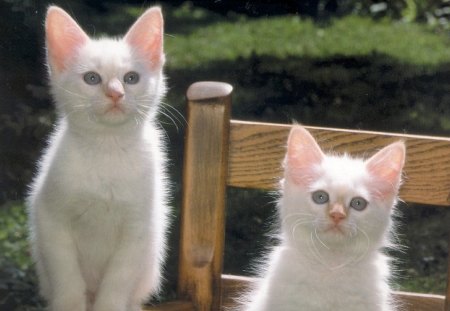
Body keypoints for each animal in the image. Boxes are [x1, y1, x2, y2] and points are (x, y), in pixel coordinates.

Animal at [27, 5, 170, 311]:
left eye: (131, 78)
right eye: (92, 78)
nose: (116, 93)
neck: (107, 149)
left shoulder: (138, 229)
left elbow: (118, 281)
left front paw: (110, 303)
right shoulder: (51, 219)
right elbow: (66, 275)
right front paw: (69, 304)